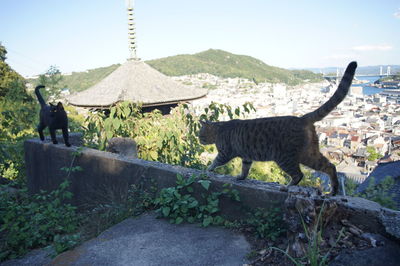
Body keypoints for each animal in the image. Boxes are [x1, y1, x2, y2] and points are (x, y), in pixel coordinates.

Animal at [198, 62, 358, 195]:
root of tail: (301, 118)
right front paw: (241, 177)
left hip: (285, 158)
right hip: (308, 154)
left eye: (200, 135)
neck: (219, 129)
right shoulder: (247, 157)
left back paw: (286, 187)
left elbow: (215, 161)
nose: (199, 140)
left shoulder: (225, 152)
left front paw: (208, 169)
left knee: (299, 174)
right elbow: (245, 169)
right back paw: (333, 191)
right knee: (329, 166)